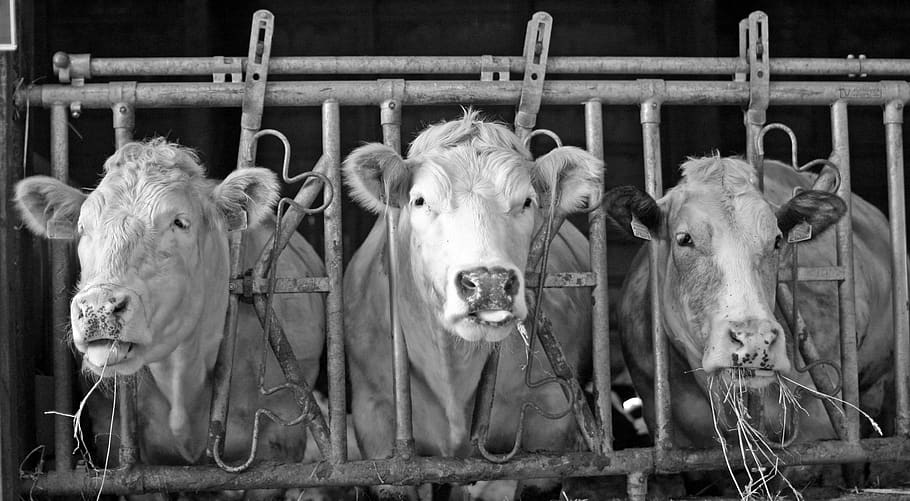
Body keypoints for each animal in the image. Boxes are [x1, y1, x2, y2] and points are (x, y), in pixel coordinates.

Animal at [15, 139, 326, 499]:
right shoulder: (118, 448)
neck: (182, 377)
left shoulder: (280, 442)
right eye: (82, 228)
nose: (98, 307)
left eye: (179, 222)